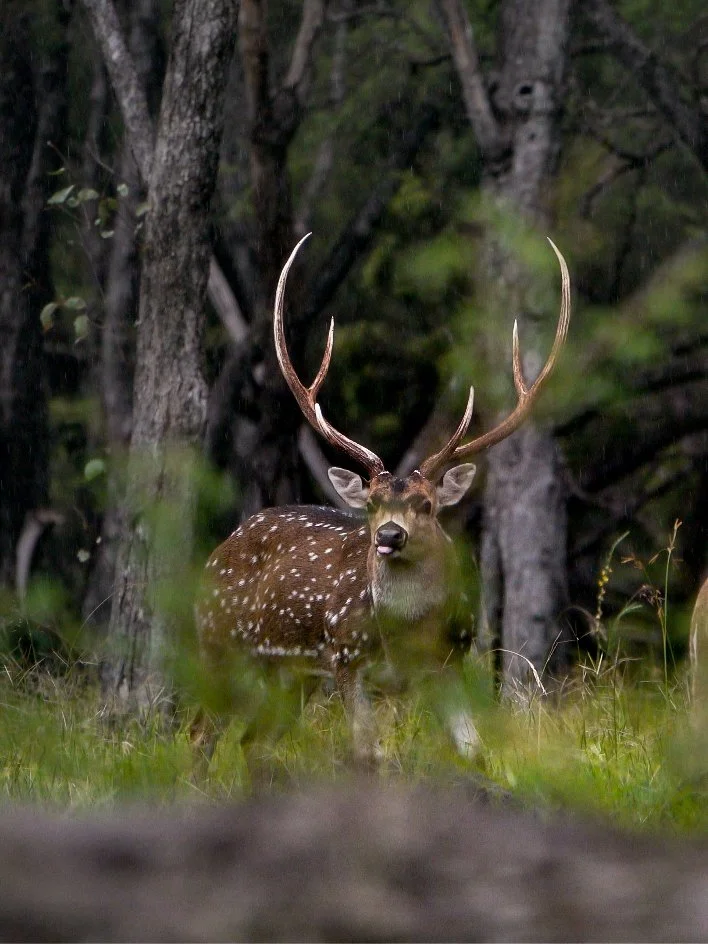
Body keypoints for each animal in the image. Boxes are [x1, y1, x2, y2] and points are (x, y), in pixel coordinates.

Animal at [190, 233, 571, 779]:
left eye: (427, 505)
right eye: (369, 503)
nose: (389, 536)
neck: (407, 636)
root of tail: (219, 550)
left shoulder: (446, 667)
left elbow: (475, 753)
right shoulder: (347, 658)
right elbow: (366, 755)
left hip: (292, 676)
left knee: (250, 742)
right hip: (222, 645)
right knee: (200, 733)